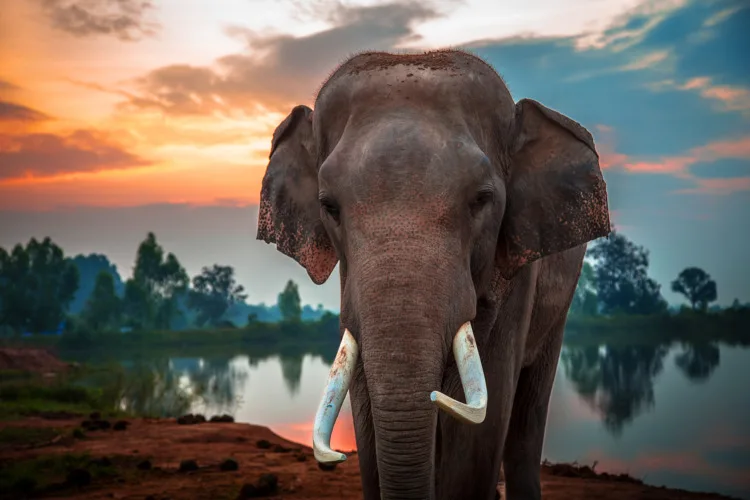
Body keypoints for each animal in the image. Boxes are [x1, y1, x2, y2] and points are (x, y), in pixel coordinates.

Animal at [258, 49, 612, 500]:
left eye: (482, 199)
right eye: (329, 206)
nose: (335, 457)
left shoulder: (517, 275)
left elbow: (484, 421)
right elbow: (366, 406)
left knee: (527, 417)